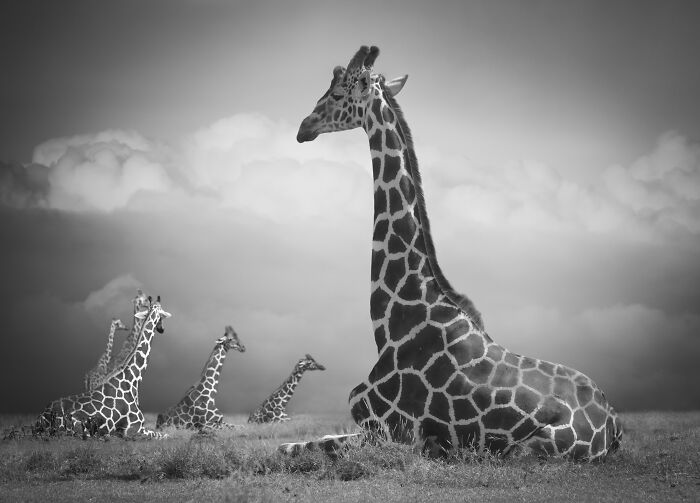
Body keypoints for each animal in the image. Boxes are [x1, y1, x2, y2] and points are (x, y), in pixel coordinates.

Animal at [36, 297, 171, 438]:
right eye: (162, 315)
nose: (161, 329)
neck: (132, 382)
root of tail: (42, 416)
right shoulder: (134, 429)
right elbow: (166, 435)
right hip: (80, 429)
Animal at [282, 46, 622, 461]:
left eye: (334, 94)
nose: (304, 127)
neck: (393, 326)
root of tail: (614, 423)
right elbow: (291, 446)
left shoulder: (392, 432)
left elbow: (290, 450)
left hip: (528, 449)